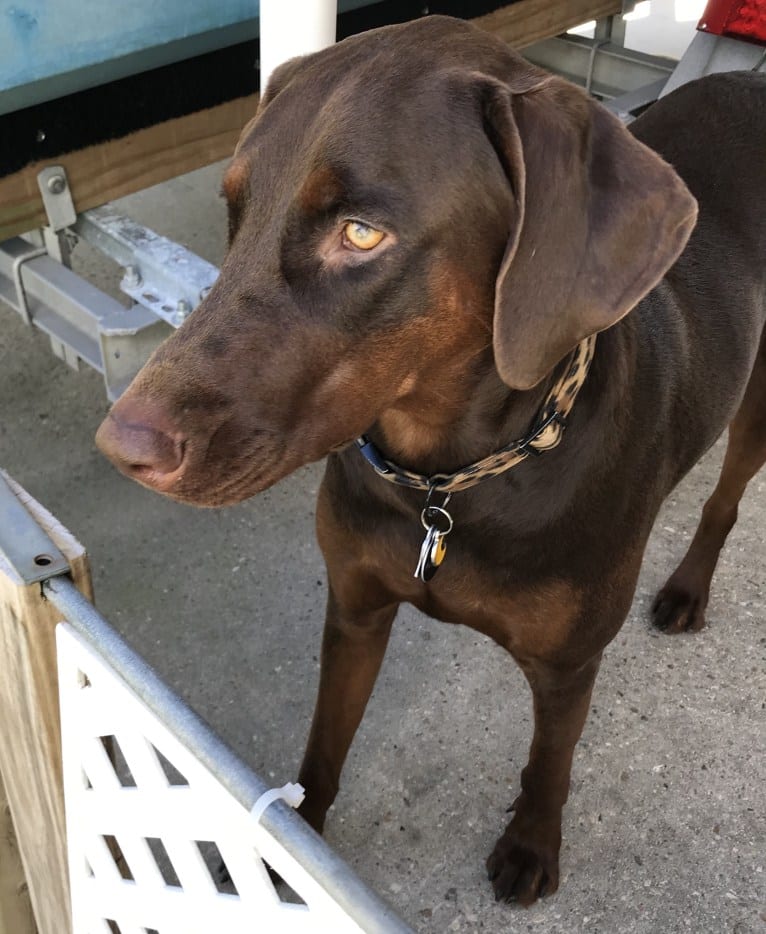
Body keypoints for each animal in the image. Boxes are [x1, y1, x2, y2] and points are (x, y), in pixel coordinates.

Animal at [97, 14, 766, 908]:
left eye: (361, 232)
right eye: (235, 211)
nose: (121, 447)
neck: (448, 484)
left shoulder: (568, 664)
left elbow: (549, 764)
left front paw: (530, 846)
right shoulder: (354, 608)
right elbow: (324, 746)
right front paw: (294, 853)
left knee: (726, 497)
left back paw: (689, 588)